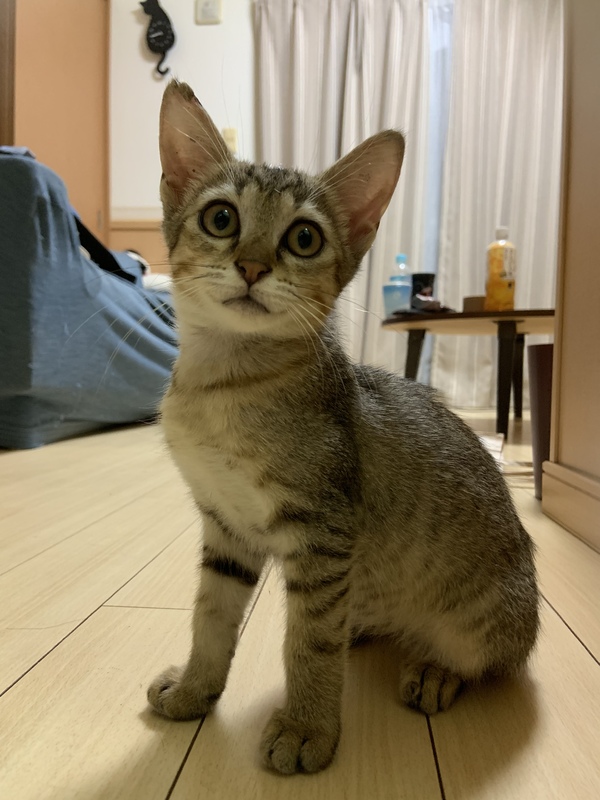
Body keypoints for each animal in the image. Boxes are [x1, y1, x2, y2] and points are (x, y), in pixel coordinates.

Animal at [147, 80, 539, 775]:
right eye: (220, 219)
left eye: (304, 238)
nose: (252, 266)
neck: (221, 388)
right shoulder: (224, 526)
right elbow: (209, 618)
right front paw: (194, 689)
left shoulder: (323, 529)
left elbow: (308, 642)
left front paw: (307, 727)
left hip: (483, 619)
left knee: (491, 661)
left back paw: (435, 670)